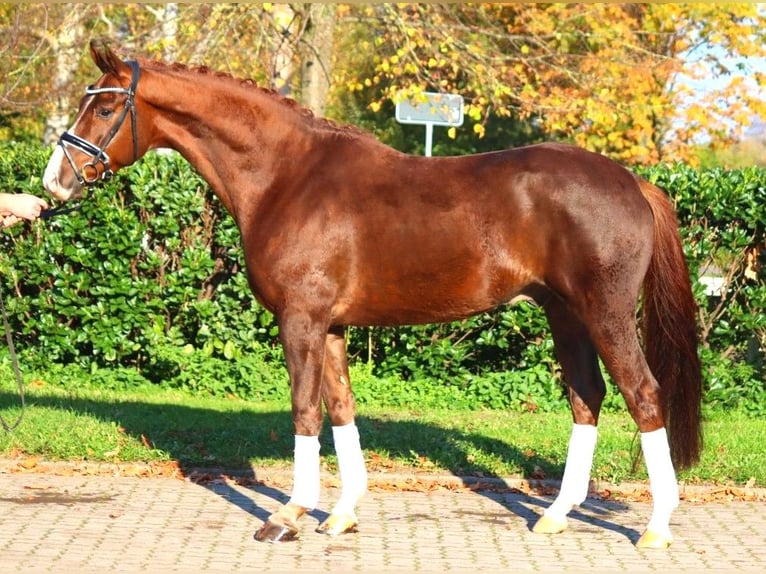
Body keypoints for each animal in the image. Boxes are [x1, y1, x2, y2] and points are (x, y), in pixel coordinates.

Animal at [42, 41, 704, 552]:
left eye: (106, 105)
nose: (54, 181)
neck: (286, 176)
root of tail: (634, 182)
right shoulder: (330, 327)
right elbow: (340, 408)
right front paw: (340, 514)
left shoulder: (301, 321)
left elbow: (305, 411)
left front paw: (287, 515)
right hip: (565, 315)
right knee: (587, 398)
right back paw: (556, 516)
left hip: (605, 314)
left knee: (643, 396)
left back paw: (656, 527)